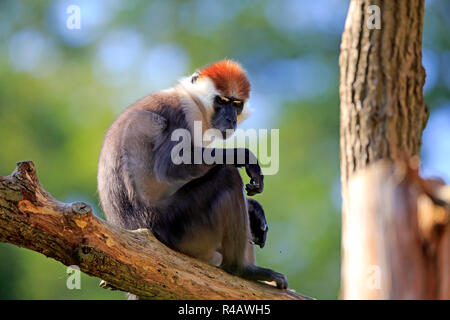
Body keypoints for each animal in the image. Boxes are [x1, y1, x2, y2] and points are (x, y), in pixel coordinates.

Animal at [97, 58, 288, 290]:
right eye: (221, 101)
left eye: (236, 104)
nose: (230, 119)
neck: (194, 101)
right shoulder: (181, 112)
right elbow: (171, 167)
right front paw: (245, 157)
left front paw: (256, 210)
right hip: (178, 228)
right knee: (227, 175)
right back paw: (242, 270)